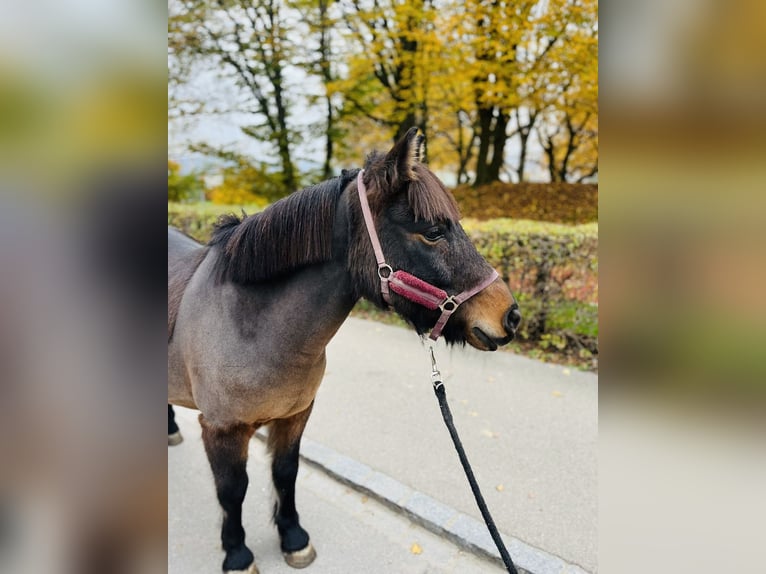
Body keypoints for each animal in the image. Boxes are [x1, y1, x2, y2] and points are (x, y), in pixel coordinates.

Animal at [168, 130, 520, 574]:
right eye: (433, 231)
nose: (510, 315)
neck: (251, 323)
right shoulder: (221, 429)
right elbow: (233, 490)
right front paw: (237, 553)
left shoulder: (296, 416)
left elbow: (285, 472)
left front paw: (293, 538)